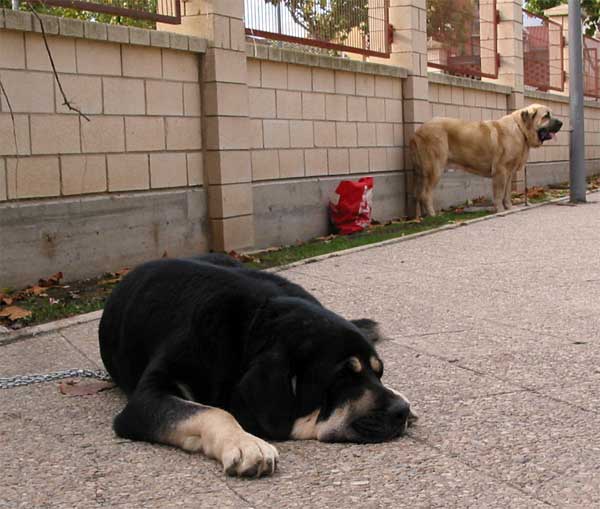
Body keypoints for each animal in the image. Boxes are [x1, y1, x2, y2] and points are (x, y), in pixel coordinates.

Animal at [99, 254, 418, 476]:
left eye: (378, 372)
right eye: (341, 378)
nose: (400, 411)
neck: (250, 330)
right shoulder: (145, 400)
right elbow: (212, 412)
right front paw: (245, 442)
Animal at [410, 103, 564, 216]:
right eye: (546, 116)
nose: (562, 123)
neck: (520, 130)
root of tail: (417, 131)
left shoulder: (509, 173)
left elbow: (507, 193)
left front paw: (509, 207)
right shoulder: (500, 171)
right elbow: (499, 193)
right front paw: (500, 210)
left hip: (421, 172)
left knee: (418, 194)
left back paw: (419, 217)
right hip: (435, 169)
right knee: (425, 194)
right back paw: (433, 215)